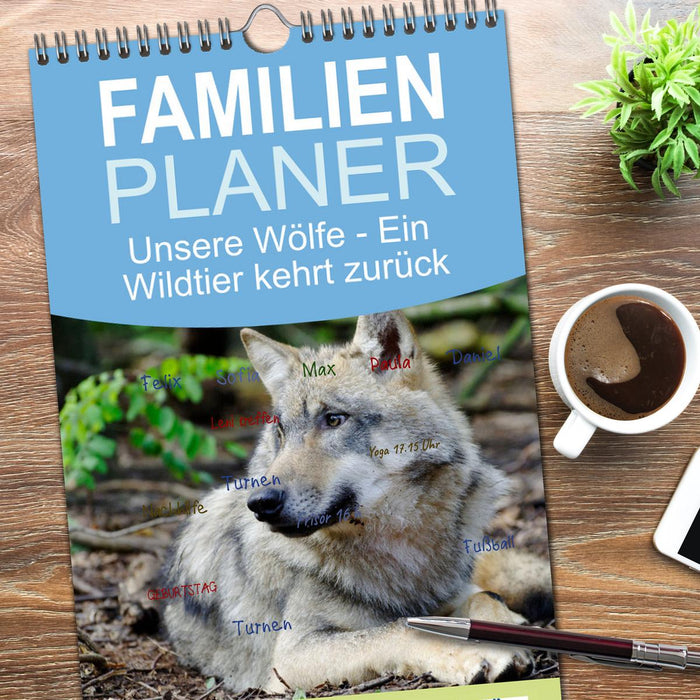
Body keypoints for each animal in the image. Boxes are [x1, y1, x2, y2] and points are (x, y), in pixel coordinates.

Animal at [163, 311, 553, 691]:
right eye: (281, 432)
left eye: (334, 419)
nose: (260, 502)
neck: (398, 549)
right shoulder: (290, 657)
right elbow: (400, 630)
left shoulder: (455, 591)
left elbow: (484, 596)